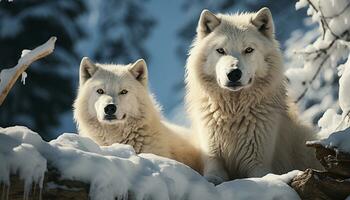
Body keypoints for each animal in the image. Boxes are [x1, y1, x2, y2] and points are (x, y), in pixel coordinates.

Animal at [186, 7, 320, 184]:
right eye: (220, 50)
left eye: (248, 50)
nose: (234, 73)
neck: (233, 113)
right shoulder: (213, 158)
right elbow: (213, 176)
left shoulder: (258, 163)